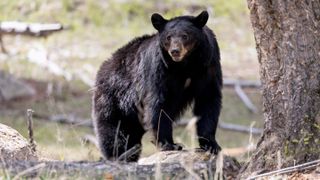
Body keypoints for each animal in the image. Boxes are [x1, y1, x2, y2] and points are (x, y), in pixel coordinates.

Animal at [92, 10, 222, 162]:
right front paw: (169, 144)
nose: (175, 51)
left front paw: (211, 145)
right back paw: (119, 155)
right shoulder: (159, 68)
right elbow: (159, 104)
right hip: (114, 100)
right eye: (168, 37)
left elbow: (208, 101)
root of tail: (104, 67)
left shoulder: (209, 66)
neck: (186, 65)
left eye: (185, 35)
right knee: (115, 131)